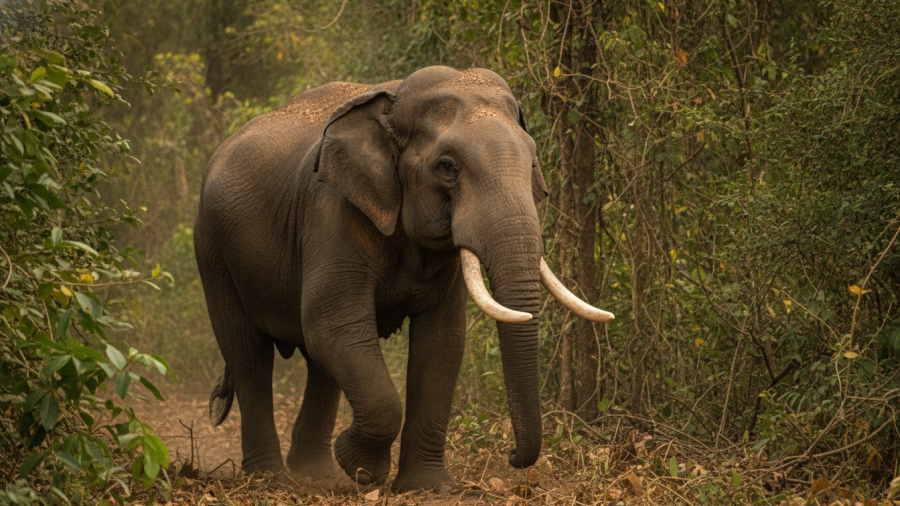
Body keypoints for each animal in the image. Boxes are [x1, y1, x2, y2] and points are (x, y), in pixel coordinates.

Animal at [194, 66, 614, 493]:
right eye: (447, 167)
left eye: (532, 164)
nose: (512, 456)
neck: (391, 107)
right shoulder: (330, 212)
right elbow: (335, 324)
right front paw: (361, 467)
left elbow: (442, 339)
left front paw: (428, 488)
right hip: (212, 248)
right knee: (249, 353)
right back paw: (272, 479)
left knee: (318, 361)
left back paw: (317, 476)